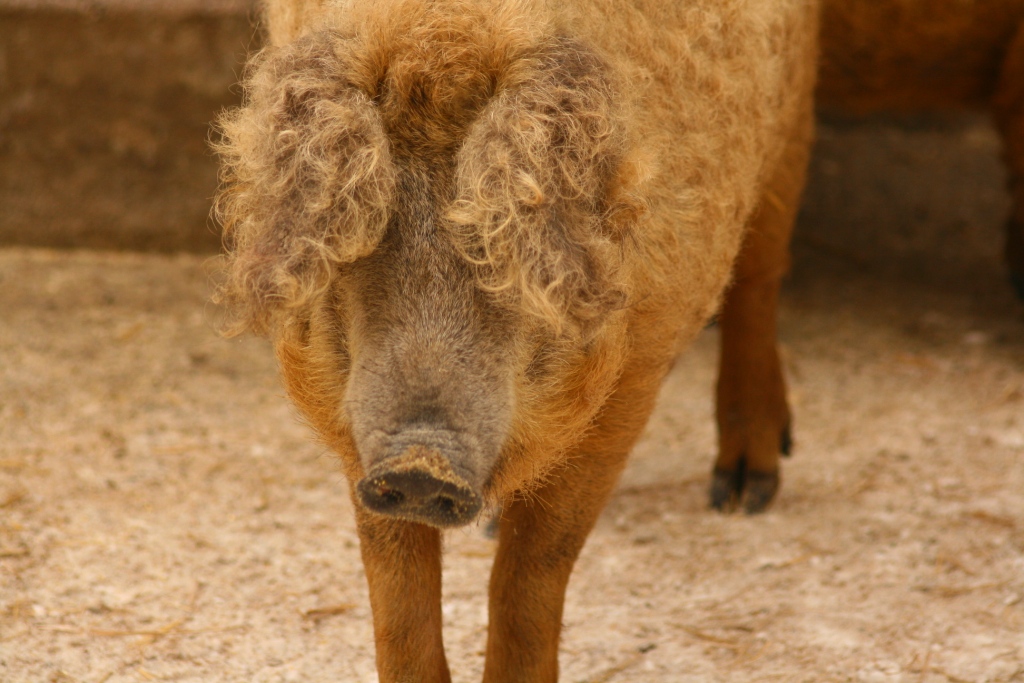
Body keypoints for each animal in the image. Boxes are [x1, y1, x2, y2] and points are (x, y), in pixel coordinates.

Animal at [211, 0, 819, 679]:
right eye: (366, 224)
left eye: (500, 242)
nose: (421, 461)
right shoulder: (347, 411)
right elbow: (396, 586)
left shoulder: (637, 370)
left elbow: (534, 569)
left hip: (790, 113)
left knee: (760, 269)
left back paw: (743, 493)